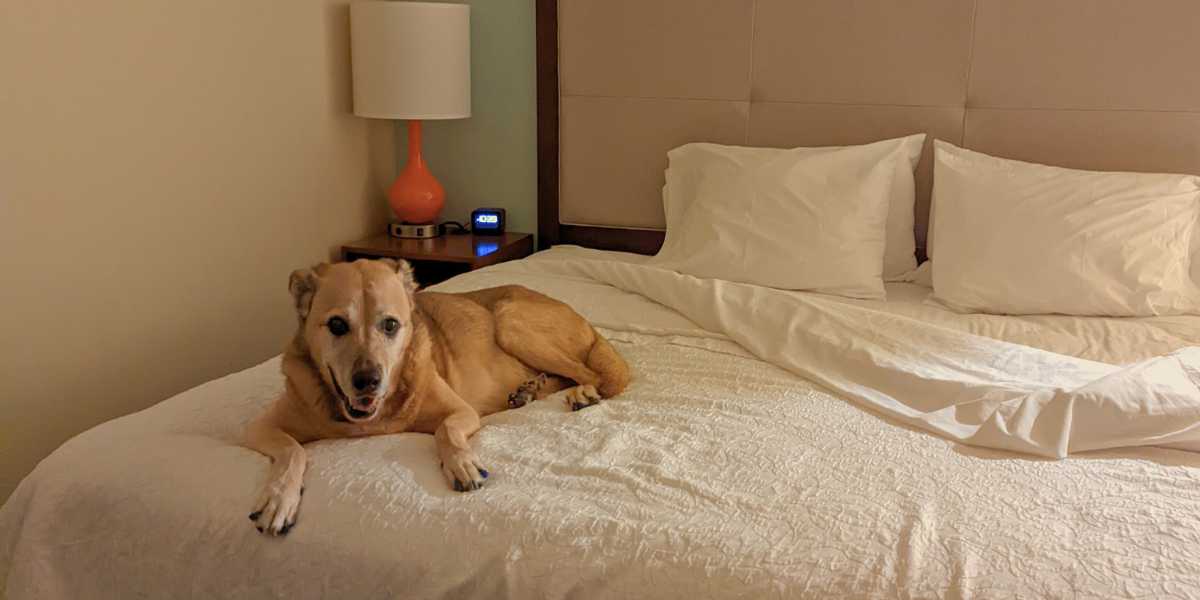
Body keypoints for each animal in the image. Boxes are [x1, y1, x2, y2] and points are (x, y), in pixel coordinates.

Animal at [243, 258, 628, 535]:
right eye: (337, 325)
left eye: (390, 325)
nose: (368, 382)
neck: (370, 420)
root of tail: (585, 321)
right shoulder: (260, 427)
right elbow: (293, 452)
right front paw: (278, 499)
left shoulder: (461, 411)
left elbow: (446, 432)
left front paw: (461, 463)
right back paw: (528, 391)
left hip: (509, 320)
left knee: (591, 374)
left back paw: (581, 392)